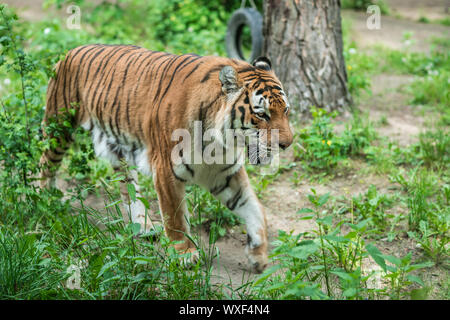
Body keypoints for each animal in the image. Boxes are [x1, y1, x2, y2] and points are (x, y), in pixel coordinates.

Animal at [39, 43, 296, 272]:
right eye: (262, 115)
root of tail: (72, 50)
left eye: (285, 110)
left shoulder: (223, 173)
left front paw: (258, 253)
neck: (218, 142)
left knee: (128, 188)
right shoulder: (166, 170)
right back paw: (44, 200)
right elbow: (175, 217)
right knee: (45, 163)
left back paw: (142, 225)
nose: (287, 144)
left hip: (118, 146)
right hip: (59, 127)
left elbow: (254, 208)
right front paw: (184, 255)